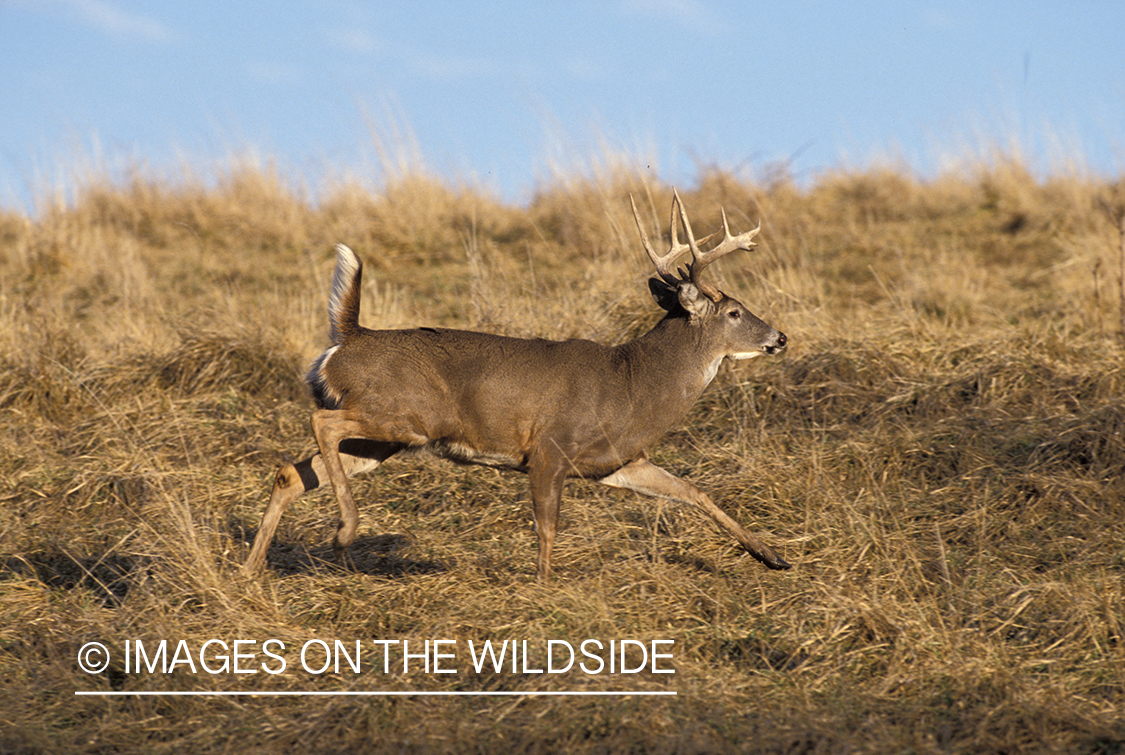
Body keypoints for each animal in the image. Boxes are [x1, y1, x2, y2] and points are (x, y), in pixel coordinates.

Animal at [246, 193, 792, 580]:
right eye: (734, 312)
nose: (779, 337)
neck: (631, 386)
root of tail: (348, 338)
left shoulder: (616, 462)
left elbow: (693, 491)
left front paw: (772, 556)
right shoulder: (550, 448)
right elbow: (547, 528)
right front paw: (546, 589)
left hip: (382, 441)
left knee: (292, 472)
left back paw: (251, 570)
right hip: (406, 415)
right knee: (321, 421)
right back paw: (344, 531)